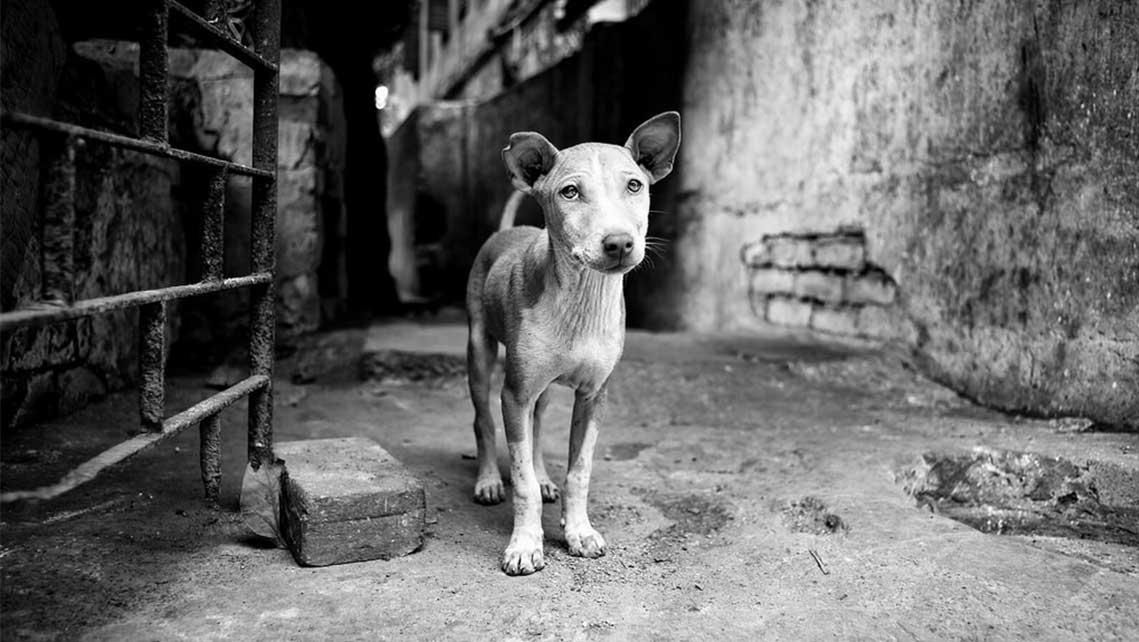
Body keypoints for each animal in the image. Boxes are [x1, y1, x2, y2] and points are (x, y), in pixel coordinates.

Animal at [464, 112, 678, 573]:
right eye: (570, 192)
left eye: (634, 185)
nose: (619, 243)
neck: (581, 299)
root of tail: (507, 232)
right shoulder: (514, 393)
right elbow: (520, 479)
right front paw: (525, 544)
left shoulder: (594, 395)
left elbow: (579, 470)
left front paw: (578, 530)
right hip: (480, 353)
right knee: (483, 421)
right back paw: (488, 480)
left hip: (542, 389)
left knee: (538, 427)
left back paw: (546, 479)